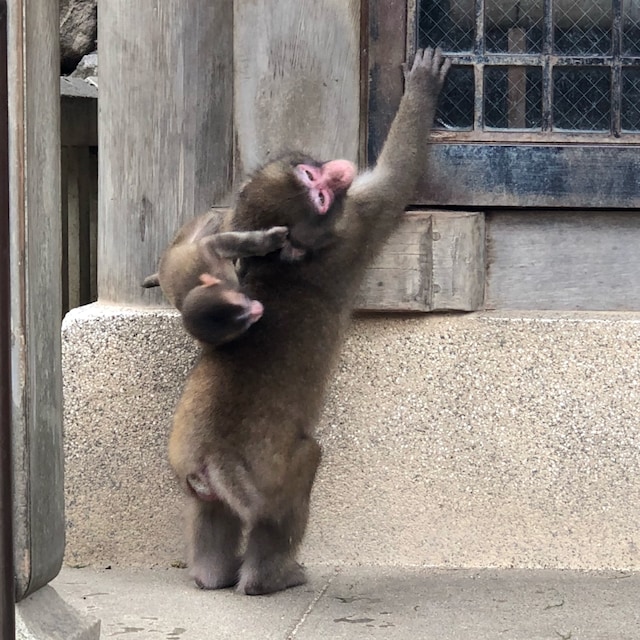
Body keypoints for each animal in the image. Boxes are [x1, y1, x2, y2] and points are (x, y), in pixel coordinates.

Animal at [141, 211, 288, 345]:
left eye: (242, 298)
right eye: (244, 324)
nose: (258, 309)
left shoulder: (210, 260)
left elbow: (214, 244)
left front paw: (271, 240)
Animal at [167, 49, 451, 595]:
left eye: (306, 172)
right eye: (316, 192)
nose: (337, 172)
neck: (285, 261)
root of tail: (213, 455)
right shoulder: (353, 229)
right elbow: (395, 178)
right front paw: (421, 89)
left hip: (189, 470)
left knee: (211, 516)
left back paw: (213, 575)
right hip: (272, 472)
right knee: (297, 478)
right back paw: (269, 576)